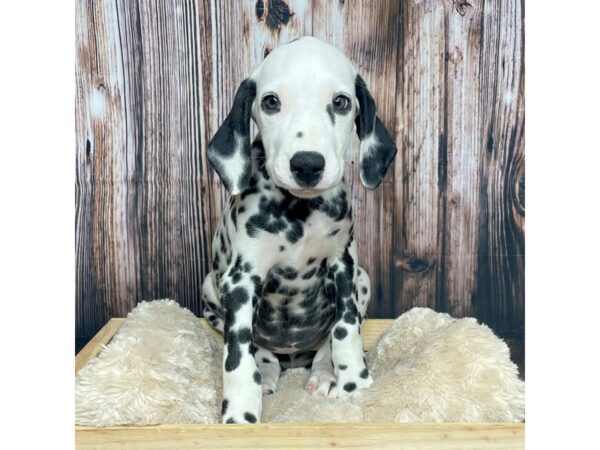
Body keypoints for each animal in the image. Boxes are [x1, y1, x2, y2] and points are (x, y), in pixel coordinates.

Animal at [203, 36, 398, 422]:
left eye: (340, 102)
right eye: (271, 102)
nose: (307, 164)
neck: (300, 213)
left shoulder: (343, 266)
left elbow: (345, 331)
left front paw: (355, 384)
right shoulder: (241, 280)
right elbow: (237, 355)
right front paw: (241, 411)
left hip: (364, 279)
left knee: (325, 348)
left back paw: (323, 375)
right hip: (210, 292)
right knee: (260, 351)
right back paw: (266, 374)